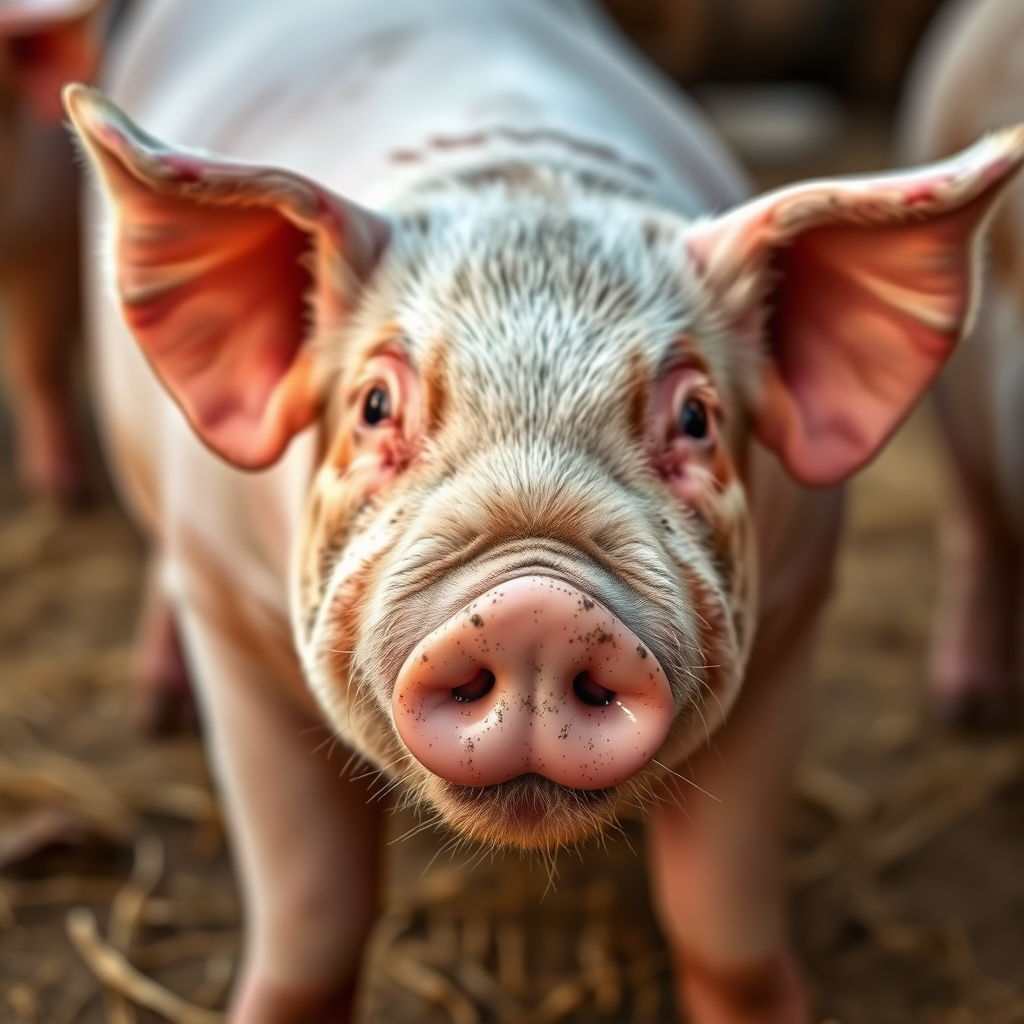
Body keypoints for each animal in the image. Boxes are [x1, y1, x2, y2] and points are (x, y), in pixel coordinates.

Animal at [63, 0, 1024, 1019]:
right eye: (373, 404)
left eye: (698, 417)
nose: (536, 604)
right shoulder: (229, 616)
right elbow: (314, 918)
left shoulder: (794, 619)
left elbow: (724, 923)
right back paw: (154, 709)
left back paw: (969, 710)